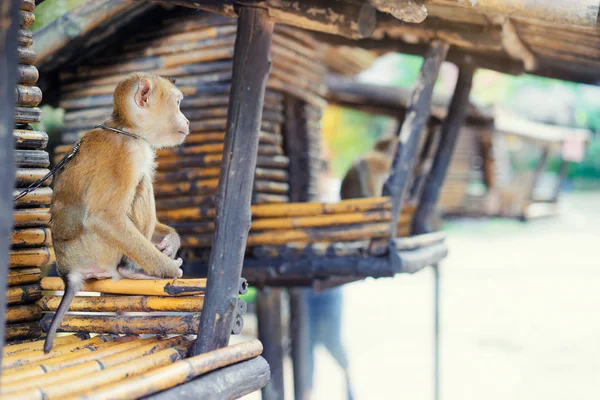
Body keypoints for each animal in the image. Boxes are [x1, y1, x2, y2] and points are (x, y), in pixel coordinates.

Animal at [44, 72, 190, 354]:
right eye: (177, 104)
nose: (187, 120)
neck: (128, 130)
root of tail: (68, 271)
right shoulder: (126, 153)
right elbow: (105, 217)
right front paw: (167, 269)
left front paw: (172, 241)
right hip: (98, 249)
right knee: (142, 183)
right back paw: (132, 269)